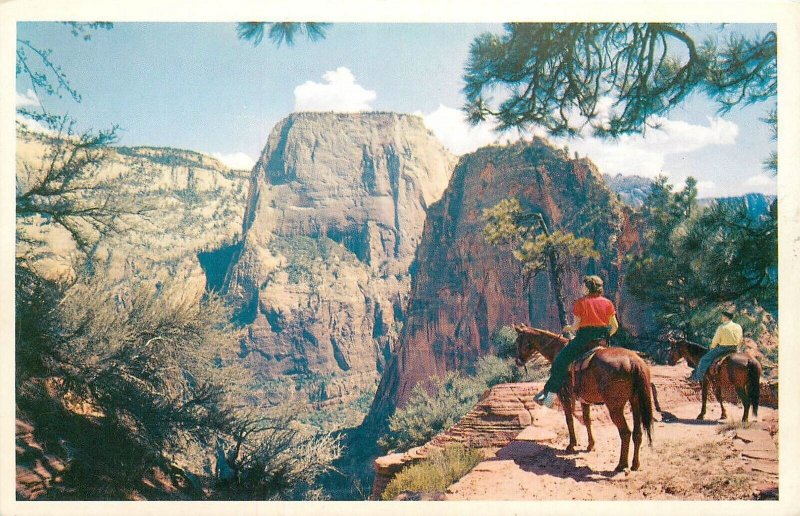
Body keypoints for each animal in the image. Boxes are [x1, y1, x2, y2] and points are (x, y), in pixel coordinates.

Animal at [516, 324, 652, 474]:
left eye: (517, 341)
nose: (517, 361)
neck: (557, 349)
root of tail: (634, 361)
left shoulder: (565, 395)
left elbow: (569, 419)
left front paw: (571, 445)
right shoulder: (584, 399)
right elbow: (587, 420)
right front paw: (590, 445)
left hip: (615, 407)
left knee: (625, 433)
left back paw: (621, 465)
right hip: (635, 402)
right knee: (637, 433)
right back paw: (635, 464)